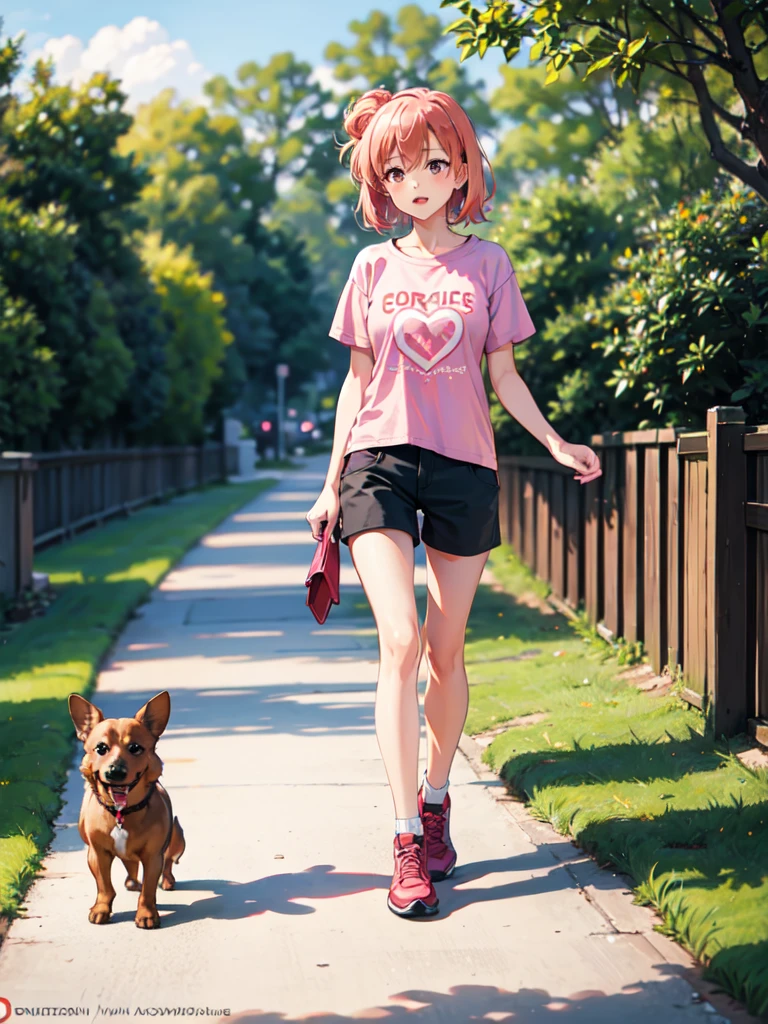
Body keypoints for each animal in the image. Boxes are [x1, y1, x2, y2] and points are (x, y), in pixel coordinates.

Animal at [70, 688, 188, 929]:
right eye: (101, 748)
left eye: (135, 748)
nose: (115, 771)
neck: (121, 812)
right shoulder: (97, 854)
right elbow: (104, 886)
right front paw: (101, 909)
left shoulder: (153, 856)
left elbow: (149, 890)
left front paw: (146, 914)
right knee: (131, 868)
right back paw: (131, 881)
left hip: (177, 838)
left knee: (169, 863)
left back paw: (167, 881)